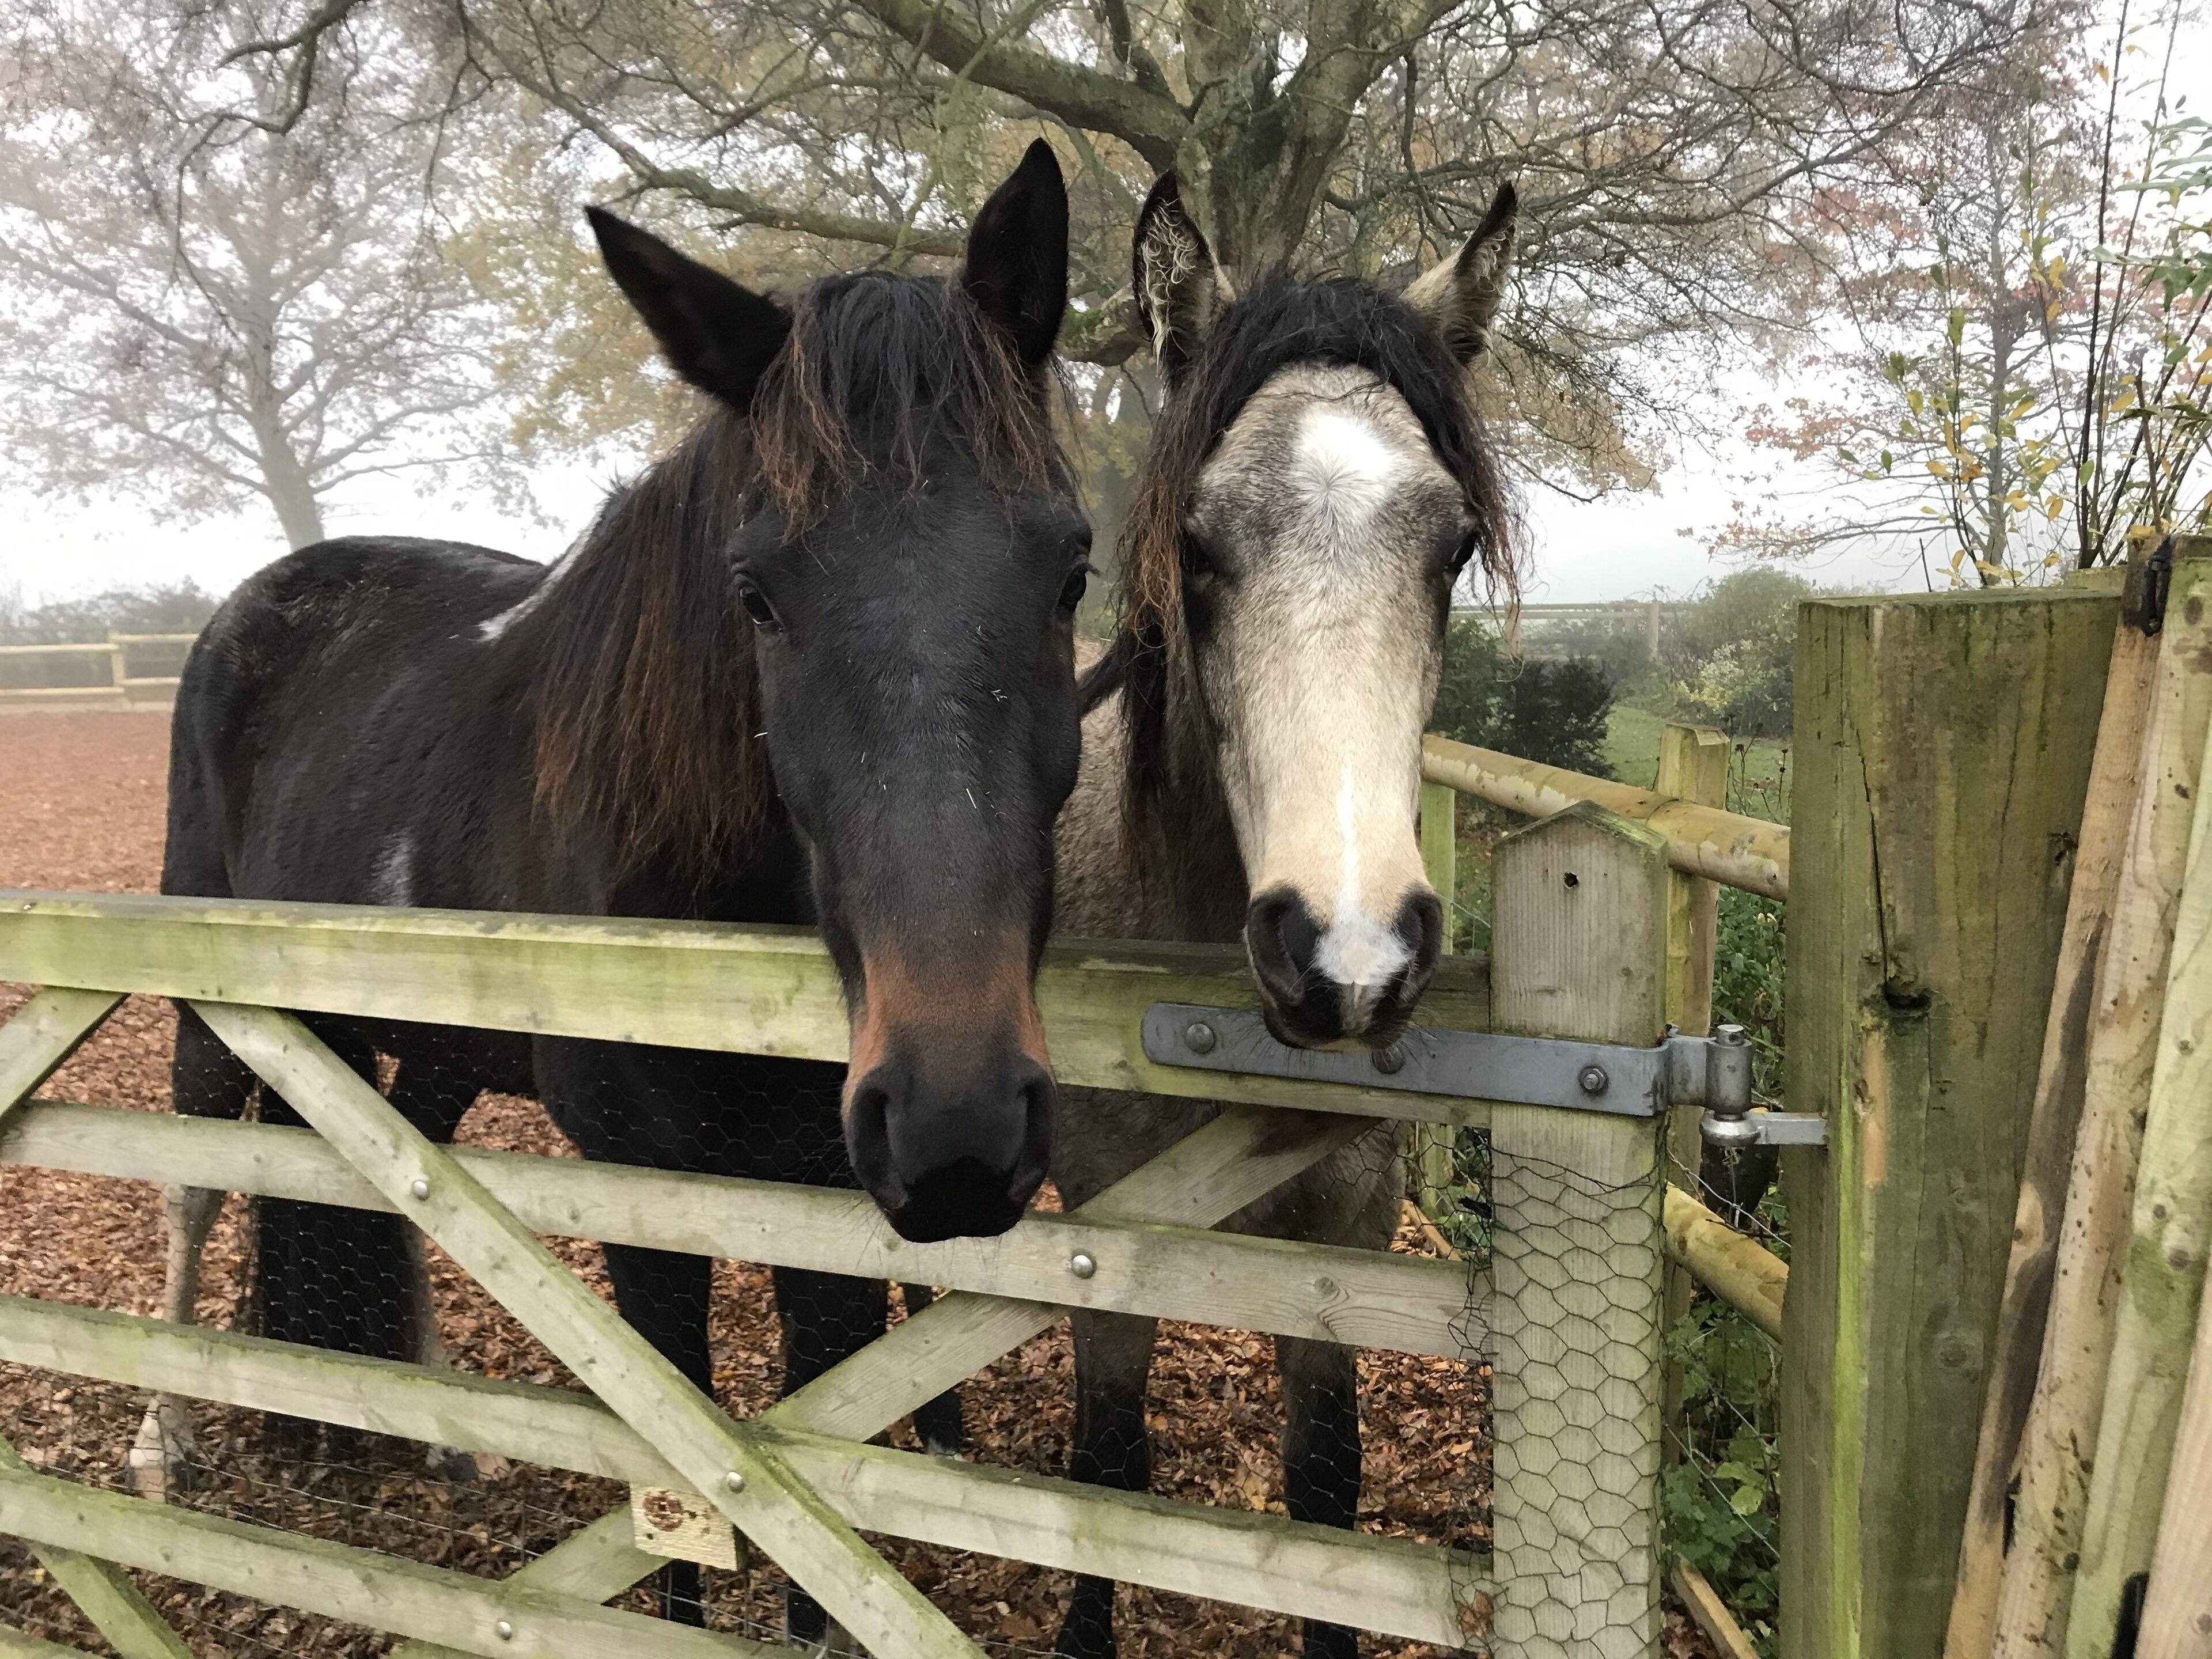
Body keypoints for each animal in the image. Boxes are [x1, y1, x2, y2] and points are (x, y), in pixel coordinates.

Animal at [128, 140, 1091, 1635]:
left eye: (1071, 572)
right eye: (755, 594)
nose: (957, 1119)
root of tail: (259, 602)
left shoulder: (820, 1191)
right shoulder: (649, 1193)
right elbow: (680, 1502)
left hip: (404, 1048)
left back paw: (417, 1438)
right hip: (213, 1005)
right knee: (195, 1178)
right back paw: (167, 1440)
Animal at [1047, 173, 1519, 1659]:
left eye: (1452, 545)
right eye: (1195, 546)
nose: (1347, 959)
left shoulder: (1345, 1230)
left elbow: (1324, 1488)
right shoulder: (1108, 1230)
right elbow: (1105, 1462)